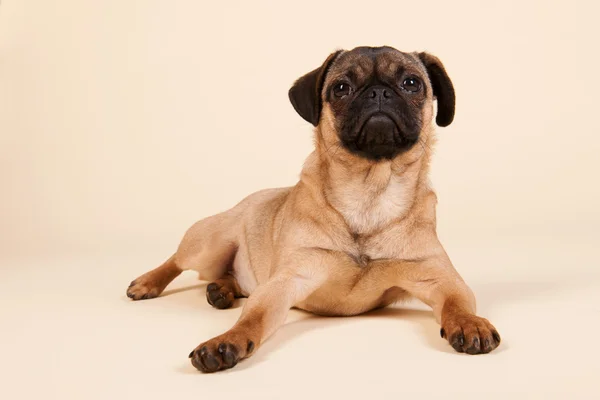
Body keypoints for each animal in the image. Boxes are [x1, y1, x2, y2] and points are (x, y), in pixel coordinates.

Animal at [126, 46, 502, 372]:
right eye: (341, 88)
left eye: (412, 83)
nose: (378, 93)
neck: (369, 193)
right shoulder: (288, 281)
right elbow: (253, 317)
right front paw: (226, 341)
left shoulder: (440, 279)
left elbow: (457, 304)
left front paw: (470, 323)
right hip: (209, 243)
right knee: (177, 261)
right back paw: (148, 283)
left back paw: (222, 290)